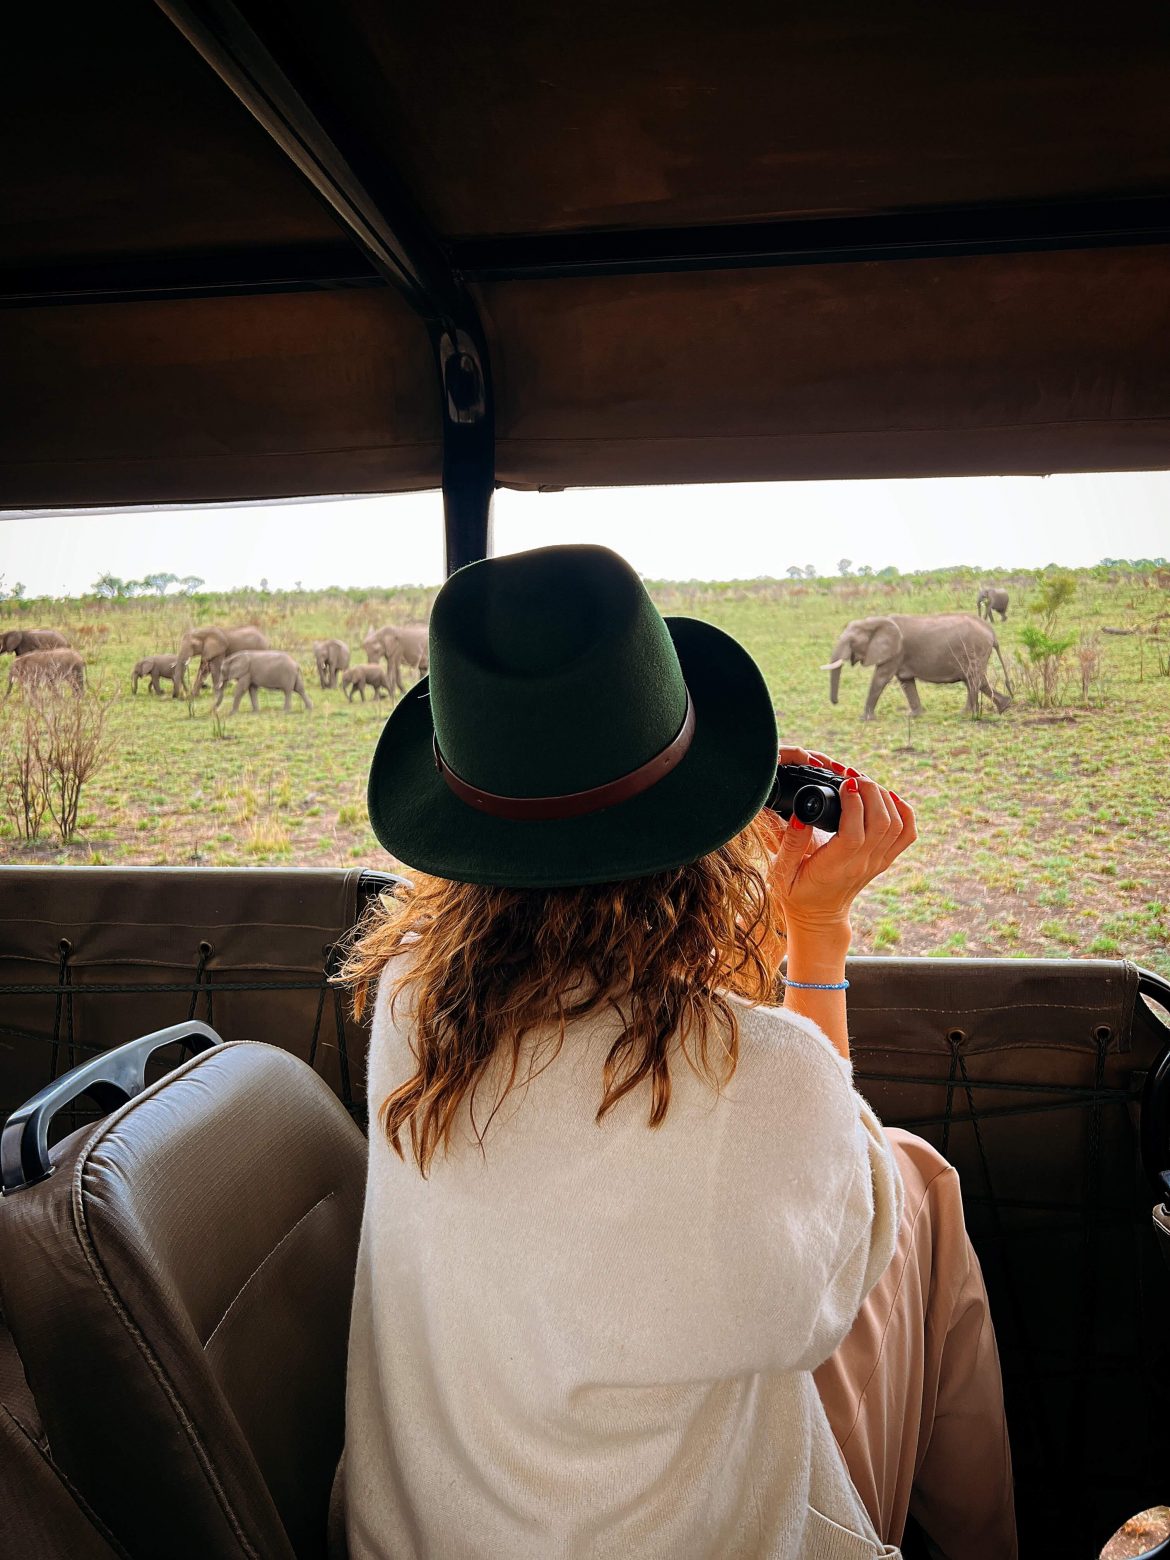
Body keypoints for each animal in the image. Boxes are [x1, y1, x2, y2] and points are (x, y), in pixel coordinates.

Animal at [823, 617, 1017, 720]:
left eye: (852, 642)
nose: (835, 702)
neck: (876, 621)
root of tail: (991, 632)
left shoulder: (896, 652)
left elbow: (880, 679)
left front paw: (865, 719)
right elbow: (906, 682)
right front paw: (914, 715)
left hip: (975, 649)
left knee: (973, 679)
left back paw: (965, 714)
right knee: (977, 680)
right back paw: (1004, 706)